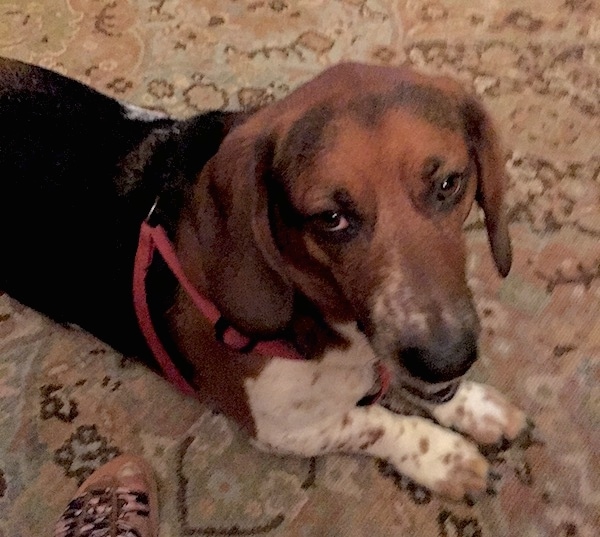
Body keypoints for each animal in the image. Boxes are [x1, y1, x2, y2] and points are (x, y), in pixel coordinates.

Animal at [0, 57, 528, 498]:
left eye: (448, 184)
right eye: (331, 218)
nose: (446, 360)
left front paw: (475, 406)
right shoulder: (282, 431)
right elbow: (375, 421)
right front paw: (444, 457)